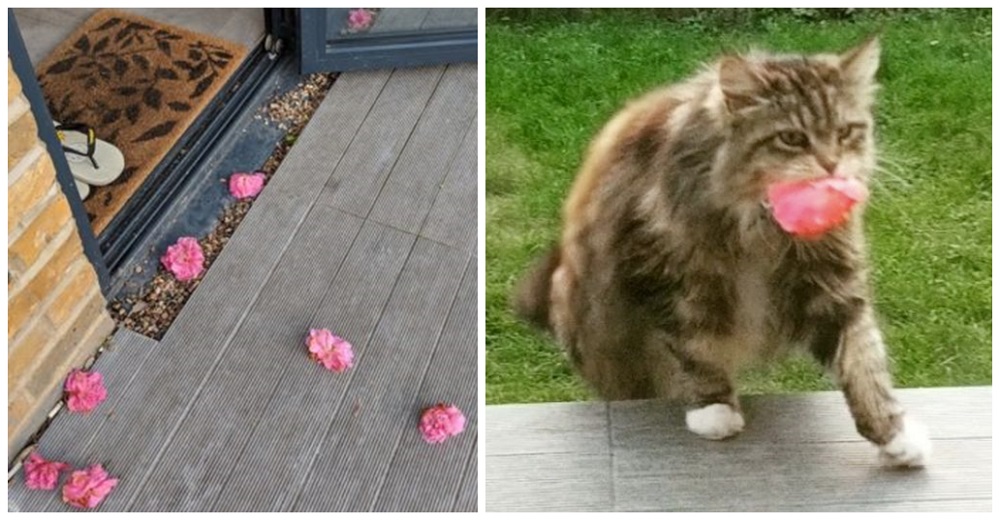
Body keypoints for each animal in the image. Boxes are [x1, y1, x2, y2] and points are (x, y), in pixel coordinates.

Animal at [516, 37, 928, 468]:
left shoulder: (832, 282)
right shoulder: (667, 274)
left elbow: (863, 361)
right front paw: (714, 410)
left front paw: (894, 435)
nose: (831, 165)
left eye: (846, 132)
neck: (761, 224)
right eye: (792, 138)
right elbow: (695, 348)